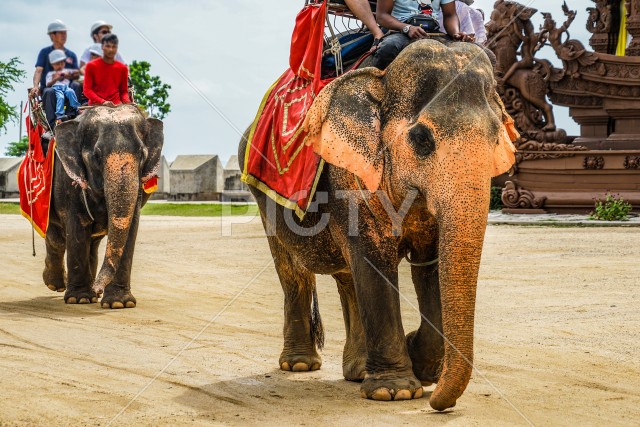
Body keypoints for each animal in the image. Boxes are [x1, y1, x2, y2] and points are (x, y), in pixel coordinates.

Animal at [43, 105, 164, 310]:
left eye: (142, 154)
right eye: (97, 156)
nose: (98, 288)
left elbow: (130, 227)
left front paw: (119, 303)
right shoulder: (68, 179)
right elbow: (77, 229)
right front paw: (80, 299)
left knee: (90, 244)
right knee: (57, 239)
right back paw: (57, 285)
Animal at [238, 39, 516, 412]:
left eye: (497, 137)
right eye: (421, 139)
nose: (438, 404)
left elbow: (429, 268)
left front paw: (422, 369)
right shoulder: (347, 175)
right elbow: (374, 262)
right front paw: (395, 391)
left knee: (347, 277)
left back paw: (356, 372)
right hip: (264, 200)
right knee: (293, 271)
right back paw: (299, 365)